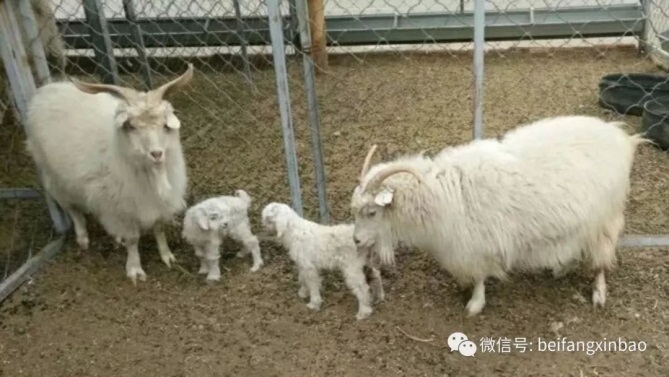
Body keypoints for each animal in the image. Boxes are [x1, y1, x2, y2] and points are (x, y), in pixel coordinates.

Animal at [26, 64, 193, 282]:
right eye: (131, 126)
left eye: (165, 125)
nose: (157, 154)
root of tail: (47, 89)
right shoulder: (121, 207)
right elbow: (133, 238)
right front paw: (134, 269)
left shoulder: (157, 203)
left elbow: (159, 228)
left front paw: (167, 256)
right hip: (54, 177)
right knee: (72, 209)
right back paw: (82, 237)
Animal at [352, 116, 644, 316]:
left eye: (372, 211)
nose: (356, 241)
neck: (440, 193)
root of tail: (622, 138)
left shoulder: (477, 243)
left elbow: (480, 276)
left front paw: (475, 304)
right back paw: (562, 269)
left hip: (605, 219)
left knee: (601, 260)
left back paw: (599, 293)